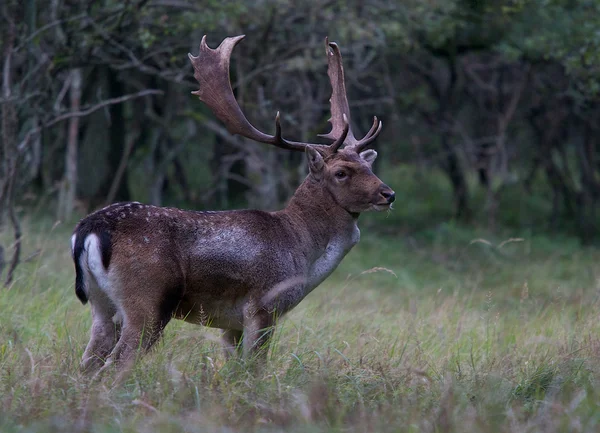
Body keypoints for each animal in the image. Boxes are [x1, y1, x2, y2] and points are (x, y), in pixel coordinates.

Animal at [71, 35, 394, 372]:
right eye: (341, 172)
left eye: (369, 166)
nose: (388, 194)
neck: (301, 248)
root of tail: (89, 229)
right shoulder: (264, 306)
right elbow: (255, 369)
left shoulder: (231, 323)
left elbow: (231, 370)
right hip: (147, 300)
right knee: (115, 366)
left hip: (101, 306)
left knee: (88, 364)